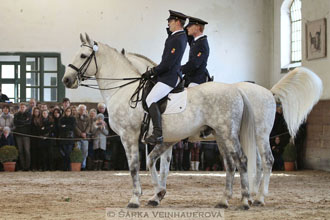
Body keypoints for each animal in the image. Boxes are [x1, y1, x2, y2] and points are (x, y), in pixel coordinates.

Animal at [62, 33, 258, 209]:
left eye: (83, 56)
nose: (66, 79)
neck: (123, 90)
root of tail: (236, 90)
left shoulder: (129, 135)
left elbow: (135, 166)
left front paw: (135, 199)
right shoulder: (165, 139)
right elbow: (155, 163)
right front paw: (157, 194)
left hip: (228, 134)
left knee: (242, 160)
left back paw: (245, 201)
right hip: (220, 135)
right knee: (231, 164)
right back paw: (224, 200)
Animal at [121, 49, 322, 206]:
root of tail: (269, 92)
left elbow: (160, 163)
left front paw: (155, 195)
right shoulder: (171, 139)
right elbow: (163, 164)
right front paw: (158, 194)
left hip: (259, 135)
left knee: (266, 161)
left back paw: (258, 198)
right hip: (245, 137)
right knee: (255, 162)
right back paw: (251, 195)